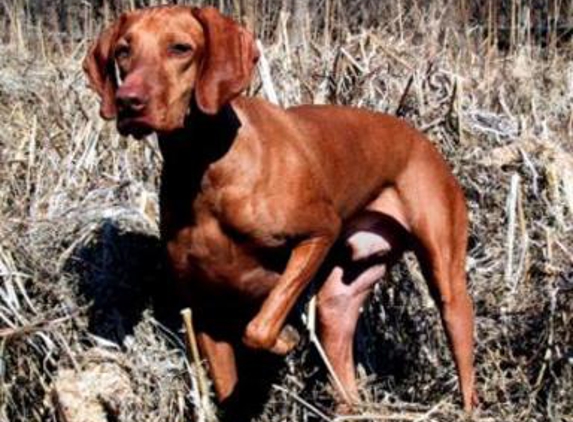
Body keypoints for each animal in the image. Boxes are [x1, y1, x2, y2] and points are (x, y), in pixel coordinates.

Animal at [84, 4, 478, 414]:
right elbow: (230, 386)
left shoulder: (319, 232)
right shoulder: (204, 311)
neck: (206, 167)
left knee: (463, 354)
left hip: (448, 283)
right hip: (338, 303)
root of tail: (423, 139)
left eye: (180, 48)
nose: (128, 102)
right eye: (123, 51)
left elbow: (259, 328)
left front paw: (285, 338)